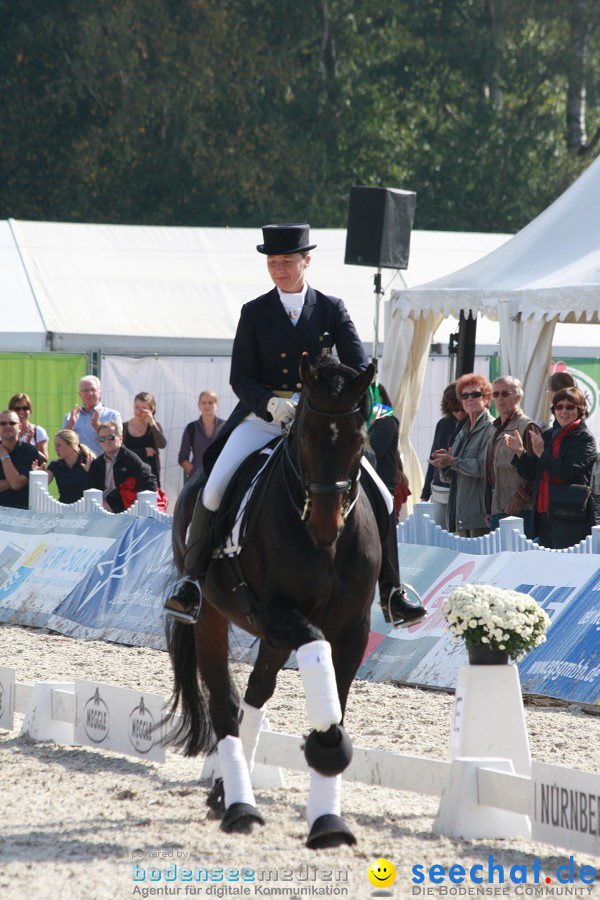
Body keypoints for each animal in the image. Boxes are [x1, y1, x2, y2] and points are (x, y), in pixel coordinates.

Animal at [164, 356, 380, 848]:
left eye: (360, 439)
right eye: (304, 435)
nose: (325, 526)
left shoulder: (353, 628)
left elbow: (336, 700)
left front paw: (328, 818)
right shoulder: (280, 615)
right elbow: (317, 652)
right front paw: (326, 752)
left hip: (274, 638)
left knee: (255, 693)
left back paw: (225, 789)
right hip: (212, 619)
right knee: (225, 704)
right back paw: (238, 806)